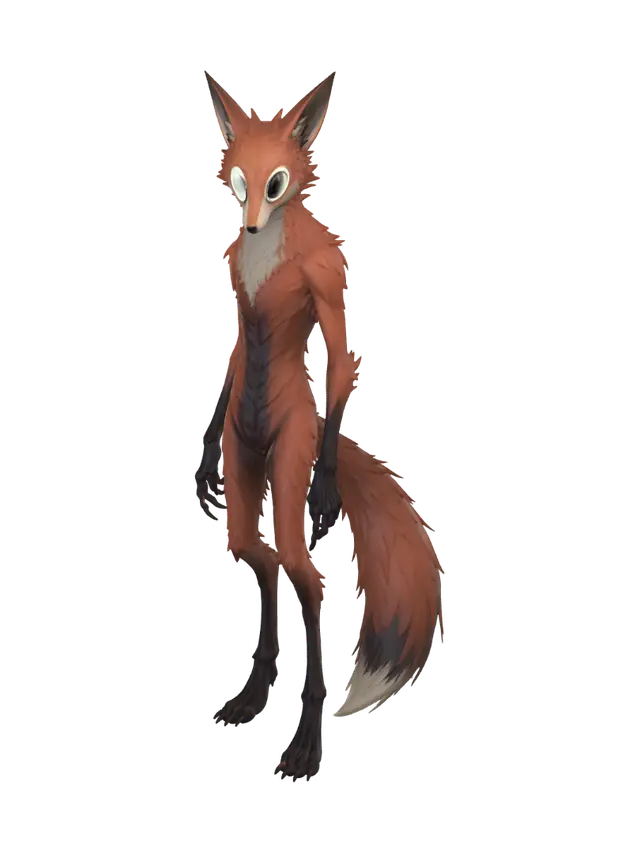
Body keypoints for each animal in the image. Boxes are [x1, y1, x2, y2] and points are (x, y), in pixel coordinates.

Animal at [196, 68, 446, 783]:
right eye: (241, 181)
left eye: (277, 183)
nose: (251, 223)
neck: (266, 251)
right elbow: (232, 358)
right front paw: (200, 470)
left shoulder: (330, 274)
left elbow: (341, 356)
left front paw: (330, 490)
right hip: (245, 460)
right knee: (254, 553)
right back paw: (254, 694)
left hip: (289, 452)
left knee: (300, 568)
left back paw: (309, 738)